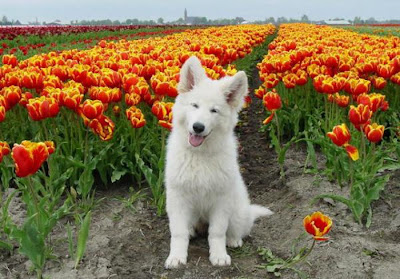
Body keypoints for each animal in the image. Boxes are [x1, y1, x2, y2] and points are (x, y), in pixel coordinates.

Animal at [164, 55, 274, 270]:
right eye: (195, 106)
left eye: (214, 111)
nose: (198, 127)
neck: (199, 155)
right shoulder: (178, 198)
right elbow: (178, 233)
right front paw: (176, 257)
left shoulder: (221, 200)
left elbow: (217, 232)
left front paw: (219, 256)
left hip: (237, 210)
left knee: (237, 229)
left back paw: (233, 240)